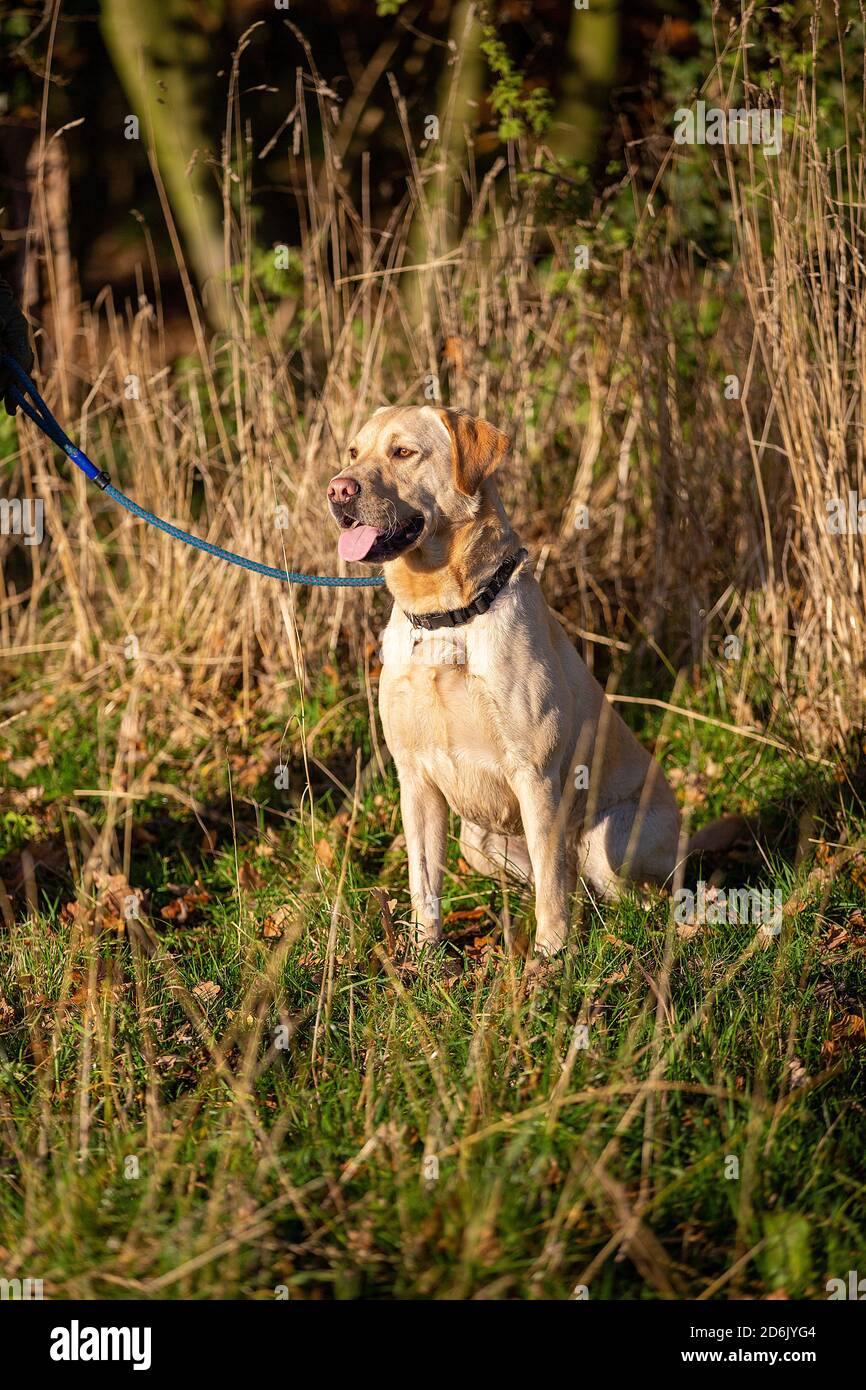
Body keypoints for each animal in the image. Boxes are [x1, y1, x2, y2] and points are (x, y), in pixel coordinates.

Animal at [326, 405, 683, 956]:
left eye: (403, 452)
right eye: (353, 452)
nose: (338, 490)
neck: (447, 615)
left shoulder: (535, 775)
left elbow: (552, 888)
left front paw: (550, 959)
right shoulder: (415, 779)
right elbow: (423, 881)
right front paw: (425, 957)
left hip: (607, 841)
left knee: (625, 895)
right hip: (476, 842)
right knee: (567, 884)